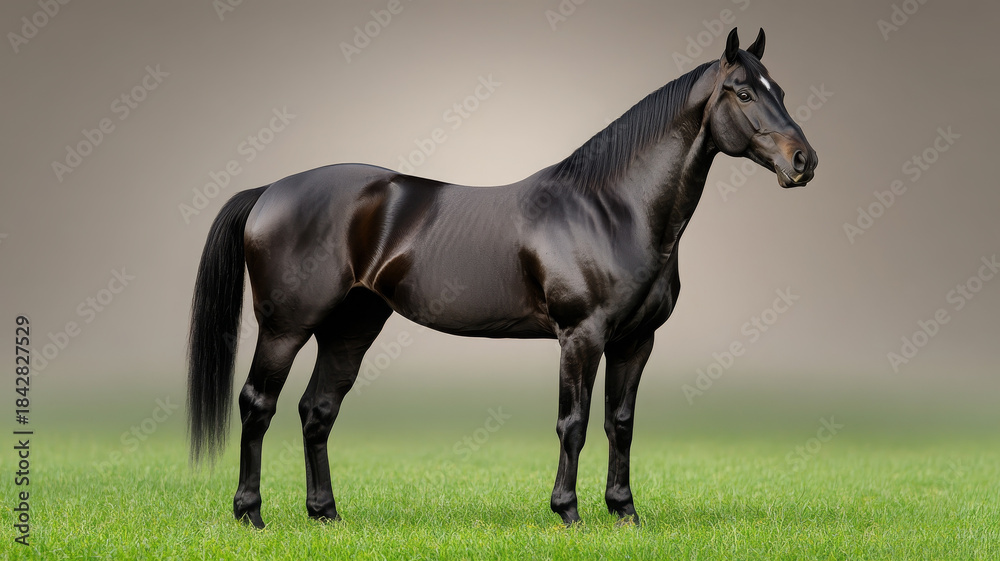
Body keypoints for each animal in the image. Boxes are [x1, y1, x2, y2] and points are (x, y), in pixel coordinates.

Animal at [187, 27, 817, 528]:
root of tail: (270, 190)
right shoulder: (581, 336)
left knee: (317, 411)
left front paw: (625, 513)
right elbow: (573, 423)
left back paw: (326, 516)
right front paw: (568, 512)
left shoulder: (637, 340)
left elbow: (621, 423)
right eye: (743, 92)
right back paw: (251, 515)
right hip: (286, 328)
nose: (804, 161)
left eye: (780, 91)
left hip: (351, 327)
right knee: (257, 405)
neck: (612, 208)